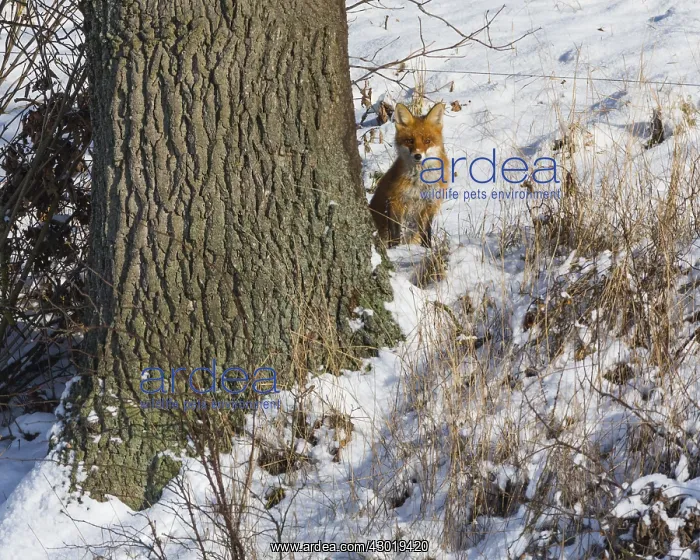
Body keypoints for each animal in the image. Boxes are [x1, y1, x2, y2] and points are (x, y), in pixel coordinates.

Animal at [369, 102, 448, 248]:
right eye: (410, 140)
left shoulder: (429, 205)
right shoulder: (395, 201)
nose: (418, 156)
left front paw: (427, 249)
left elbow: (427, 233)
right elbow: (395, 234)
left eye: (427, 141)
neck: (419, 183)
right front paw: (395, 249)